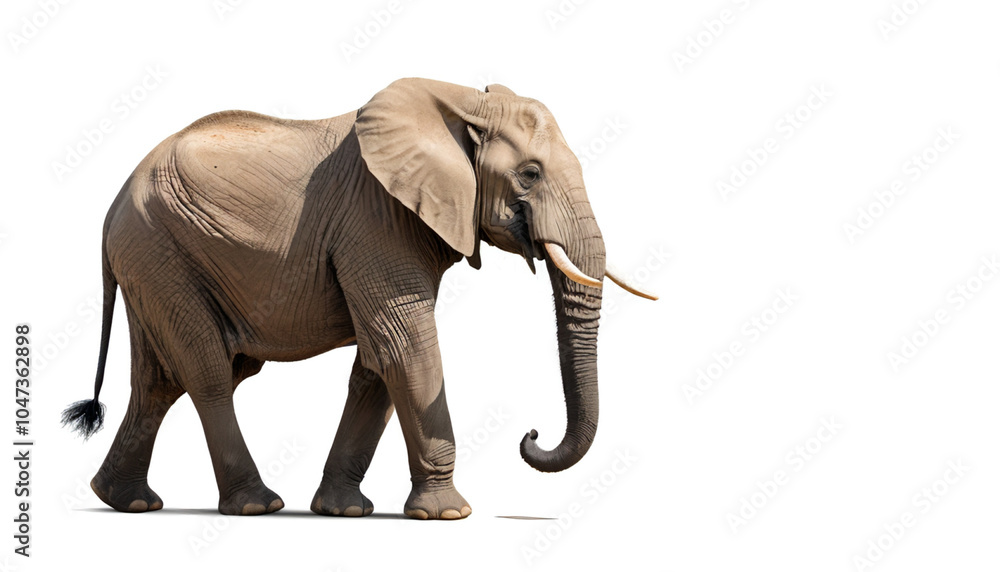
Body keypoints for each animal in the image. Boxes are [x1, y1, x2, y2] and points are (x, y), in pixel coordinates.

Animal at [63, 78, 656, 519]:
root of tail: (112, 205)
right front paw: (448, 514)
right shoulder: (376, 219)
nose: (530, 434)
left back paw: (126, 501)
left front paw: (344, 511)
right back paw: (256, 505)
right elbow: (405, 346)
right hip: (157, 248)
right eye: (529, 175)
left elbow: (376, 362)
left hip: (153, 261)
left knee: (161, 381)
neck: (463, 101)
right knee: (208, 373)